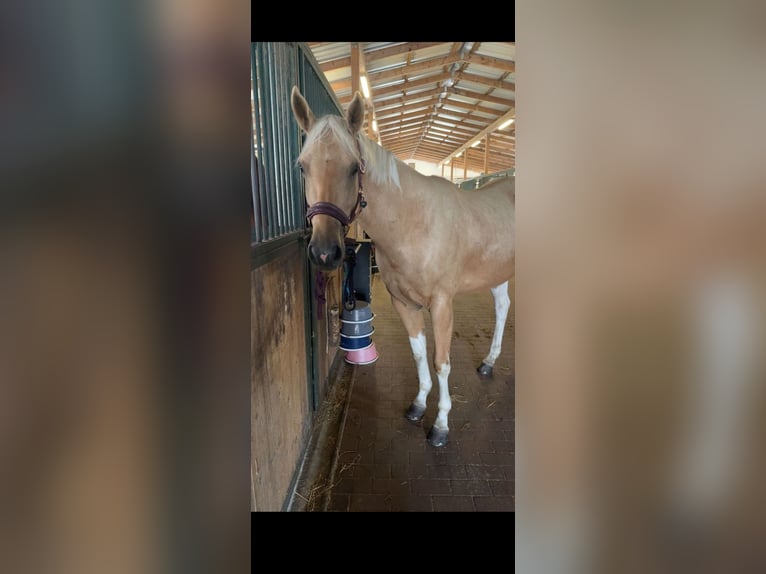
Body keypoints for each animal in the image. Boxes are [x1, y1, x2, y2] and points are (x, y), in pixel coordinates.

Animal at [290, 86, 515, 447]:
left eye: (354, 168)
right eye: (302, 166)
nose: (325, 253)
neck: (415, 222)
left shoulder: (442, 304)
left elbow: (441, 362)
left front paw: (440, 425)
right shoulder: (404, 303)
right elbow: (419, 355)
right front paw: (418, 405)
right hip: (498, 271)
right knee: (503, 307)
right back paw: (488, 363)